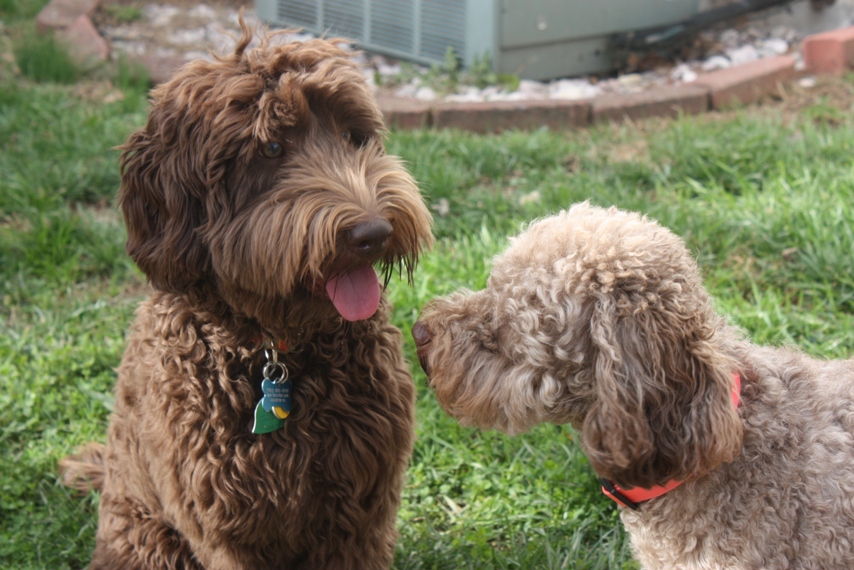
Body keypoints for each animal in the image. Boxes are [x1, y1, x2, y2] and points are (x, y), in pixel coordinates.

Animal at [61, 22, 434, 568]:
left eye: (353, 136)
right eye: (272, 149)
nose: (374, 233)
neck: (276, 352)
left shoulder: (362, 513)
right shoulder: (223, 528)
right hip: (150, 540)